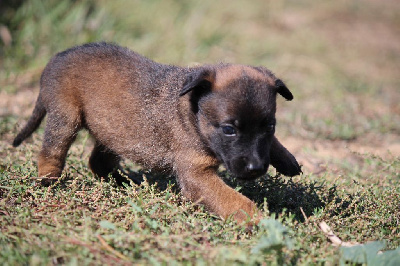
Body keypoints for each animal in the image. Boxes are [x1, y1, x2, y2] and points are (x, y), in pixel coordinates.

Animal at [12, 42, 300, 223]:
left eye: (270, 127)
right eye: (229, 129)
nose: (256, 168)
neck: (192, 113)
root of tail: (57, 57)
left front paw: (287, 160)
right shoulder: (197, 175)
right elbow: (235, 201)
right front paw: (263, 223)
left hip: (113, 129)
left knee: (98, 161)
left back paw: (124, 182)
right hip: (66, 118)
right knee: (51, 152)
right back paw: (48, 182)